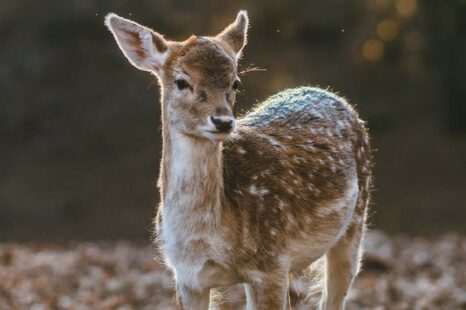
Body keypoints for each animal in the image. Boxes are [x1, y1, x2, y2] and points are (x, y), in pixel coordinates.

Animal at [105, 9, 372, 310]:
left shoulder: (271, 262)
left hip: (355, 222)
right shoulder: (187, 277)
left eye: (235, 82)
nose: (223, 121)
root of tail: (327, 92)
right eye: (181, 81)